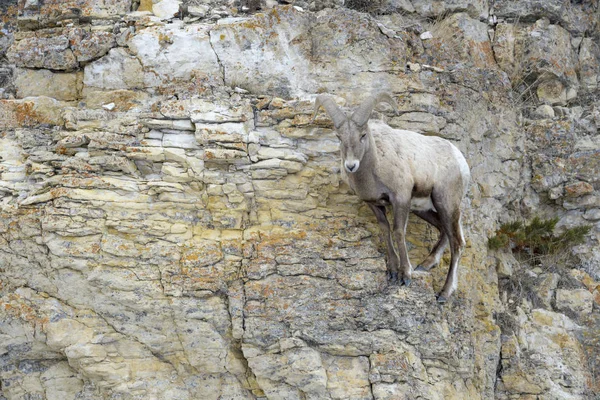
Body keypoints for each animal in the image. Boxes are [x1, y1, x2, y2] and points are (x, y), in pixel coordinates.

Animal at [312, 93, 472, 300]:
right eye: (339, 137)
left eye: (363, 135)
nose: (351, 166)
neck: (376, 168)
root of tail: (460, 160)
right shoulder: (374, 204)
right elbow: (385, 230)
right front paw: (393, 271)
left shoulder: (400, 199)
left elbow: (398, 232)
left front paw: (406, 275)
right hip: (425, 209)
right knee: (444, 231)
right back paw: (426, 265)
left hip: (446, 204)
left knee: (457, 243)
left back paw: (444, 293)